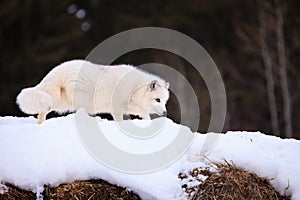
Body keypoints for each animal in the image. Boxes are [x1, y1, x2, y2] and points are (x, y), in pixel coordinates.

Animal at [16, 59, 170, 123]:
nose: (165, 112)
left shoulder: (125, 106)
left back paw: (40, 123)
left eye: (164, 101)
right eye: (157, 100)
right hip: (83, 99)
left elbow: (141, 113)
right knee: (81, 113)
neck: (135, 88)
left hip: (58, 102)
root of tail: (57, 71)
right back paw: (98, 120)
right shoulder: (119, 106)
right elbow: (142, 114)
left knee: (43, 111)